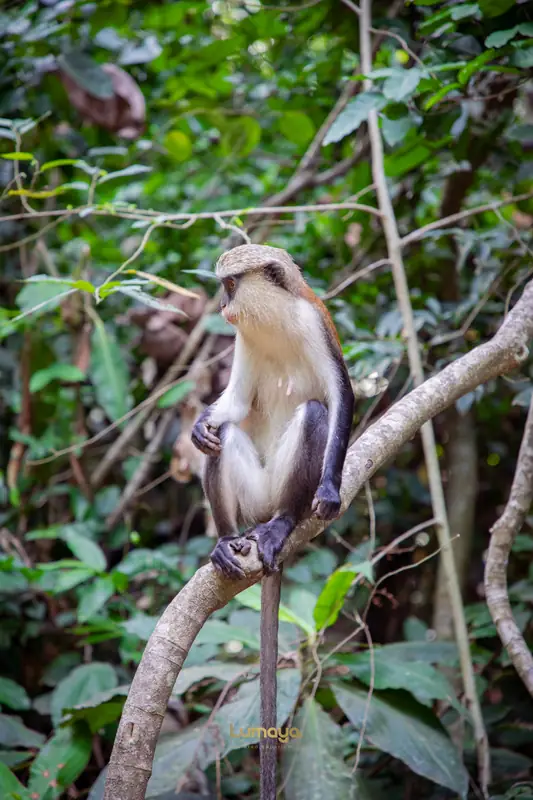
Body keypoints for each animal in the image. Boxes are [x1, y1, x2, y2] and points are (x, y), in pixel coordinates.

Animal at [191, 244, 354, 800]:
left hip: (282, 490)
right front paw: (199, 424)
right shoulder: (244, 340)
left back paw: (283, 523)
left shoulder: (315, 323)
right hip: (252, 493)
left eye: (230, 284)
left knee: (314, 414)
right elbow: (235, 406)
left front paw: (329, 489)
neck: (275, 319)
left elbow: (340, 398)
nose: (223, 307)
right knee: (225, 438)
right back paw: (226, 540)